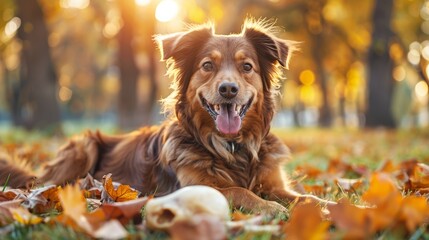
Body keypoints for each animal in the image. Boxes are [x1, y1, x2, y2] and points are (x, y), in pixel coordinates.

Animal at [0, 19, 332, 214]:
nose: (228, 89)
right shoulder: (193, 188)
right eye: (207, 65)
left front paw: (330, 204)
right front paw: (273, 209)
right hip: (84, 145)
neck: (231, 147)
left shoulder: (275, 184)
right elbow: (239, 191)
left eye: (247, 67)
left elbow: (306, 198)